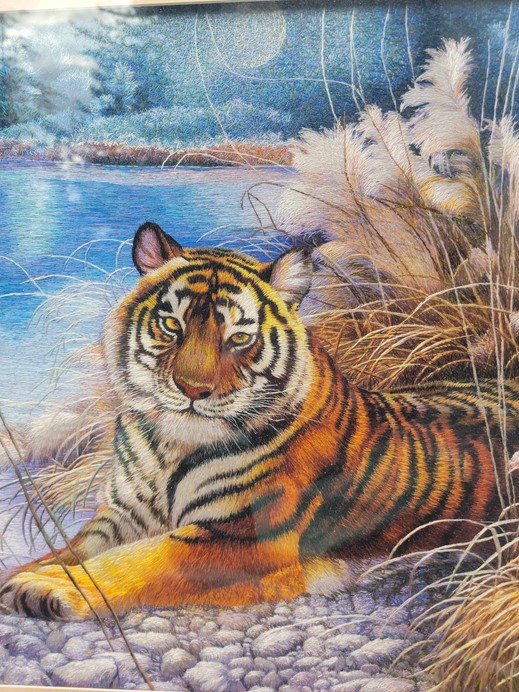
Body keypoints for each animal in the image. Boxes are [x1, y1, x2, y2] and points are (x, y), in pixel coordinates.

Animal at [1, 220, 518, 621]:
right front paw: (24, 573)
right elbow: (72, 549)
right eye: (172, 326)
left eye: (238, 337)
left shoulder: (240, 538)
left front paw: (47, 587)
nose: (192, 389)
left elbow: (135, 562)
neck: (168, 445)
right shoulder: (121, 516)